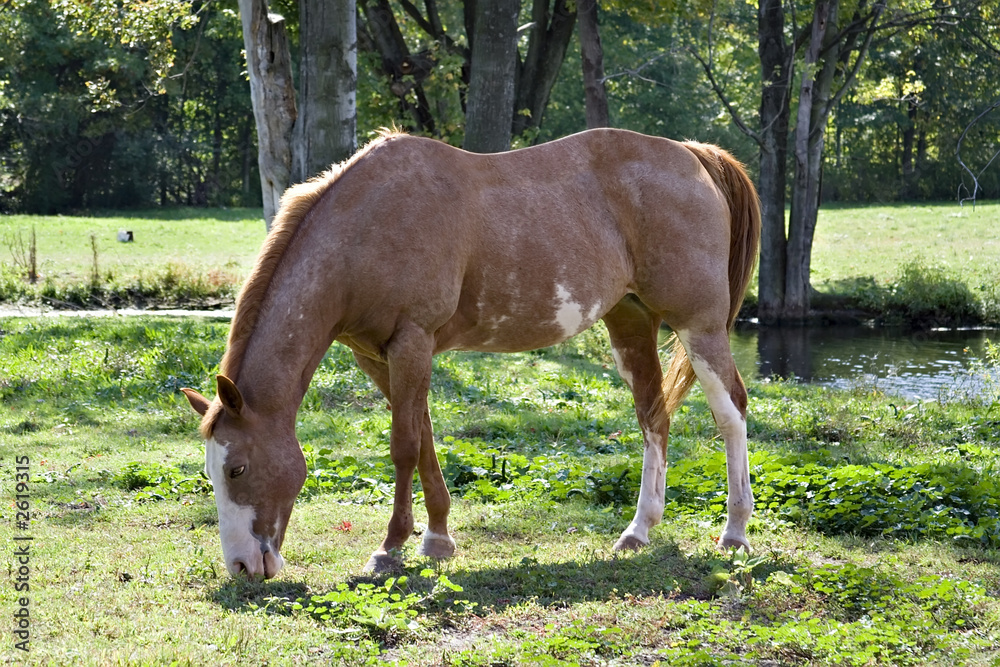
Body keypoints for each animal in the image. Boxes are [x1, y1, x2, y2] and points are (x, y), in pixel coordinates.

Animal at [181, 128, 761, 578]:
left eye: (237, 470)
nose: (240, 566)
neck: (366, 227)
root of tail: (692, 154)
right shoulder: (381, 356)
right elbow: (424, 440)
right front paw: (436, 539)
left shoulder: (412, 342)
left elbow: (404, 446)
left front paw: (390, 549)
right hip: (631, 324)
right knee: (653, 418)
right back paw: (639, 530)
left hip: (699, 327)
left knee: (730, 412)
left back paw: (734, 532)